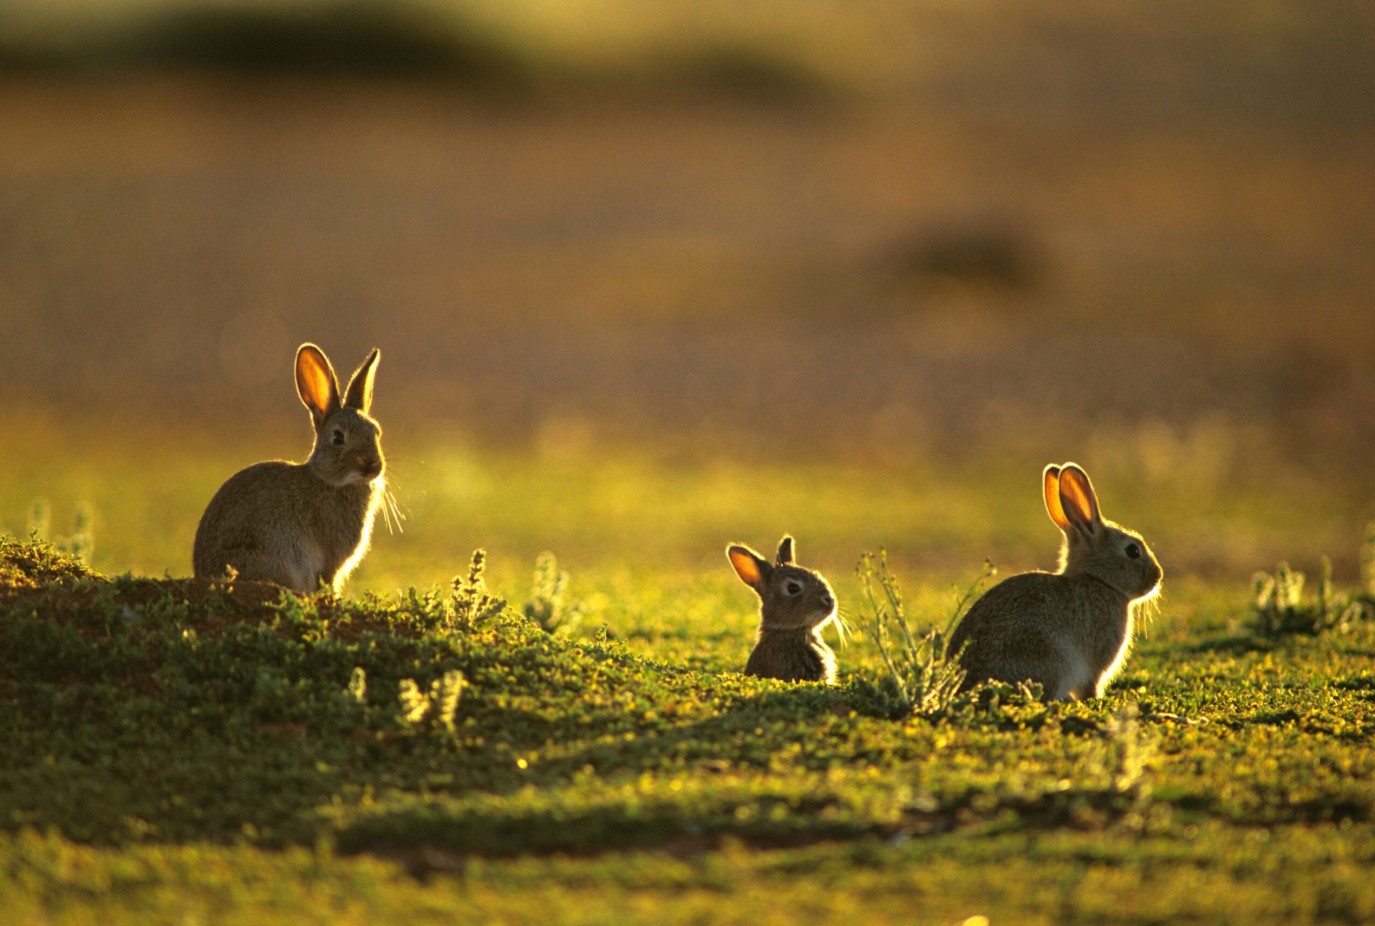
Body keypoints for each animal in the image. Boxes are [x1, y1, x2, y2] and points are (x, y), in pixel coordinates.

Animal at [193, 342, 387, 597]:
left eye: (376, 432)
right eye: (338, 437)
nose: (372, 464)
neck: (328, 480)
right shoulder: (330, 560)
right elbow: (328, 580)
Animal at [951, 462, 1166, 701]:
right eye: (1132, 551)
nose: (1158, 575)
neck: (1099, 581)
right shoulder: (1096, 664)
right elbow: (1091, 686)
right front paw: (1095, 700)